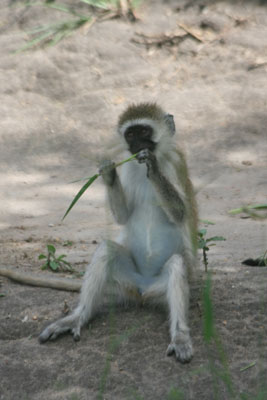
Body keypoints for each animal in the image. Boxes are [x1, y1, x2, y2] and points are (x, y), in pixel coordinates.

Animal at [39, 102, 199, 362]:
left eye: (144, 132)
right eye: (130, 135)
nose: (138, 146)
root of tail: (143, 291)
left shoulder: (176, 162)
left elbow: (181, 213)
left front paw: (153, 167)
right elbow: (123, 216)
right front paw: (108, 173)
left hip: (160, 288)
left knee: (176, 265)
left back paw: (180, 336)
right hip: (126, 283)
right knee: (106, 250)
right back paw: (76, 317)